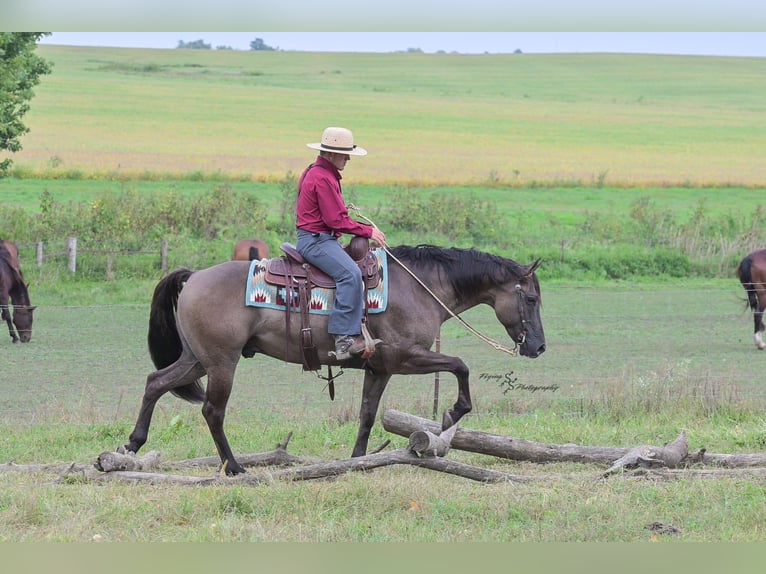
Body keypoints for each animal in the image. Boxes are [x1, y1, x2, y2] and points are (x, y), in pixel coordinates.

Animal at [119, 244, 546, 475]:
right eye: (530, 298)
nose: (539, 347)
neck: (419, 287)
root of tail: (194, 276)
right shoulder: (405, 357)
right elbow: (460, 365)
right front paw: (451, 413)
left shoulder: (380, 368)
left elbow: (367, 415)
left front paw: (356, 463)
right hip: (222, 362)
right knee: (212, 411)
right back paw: (234, 467)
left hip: (197, 359)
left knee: (155, 383)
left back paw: (131, 445)